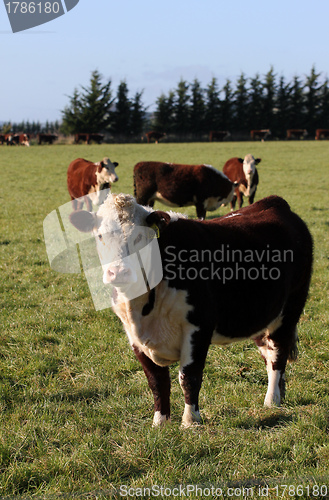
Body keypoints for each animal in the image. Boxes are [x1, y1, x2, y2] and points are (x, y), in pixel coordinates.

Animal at [70, 193, 312, 428]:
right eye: (99, 236)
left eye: (139, 237)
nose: (119, 272)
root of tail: (274, 202)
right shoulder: (133, 336)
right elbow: (157, 381)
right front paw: (160, 422)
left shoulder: (198, 326)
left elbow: (189, 376)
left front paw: (190, 421)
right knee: (268, 352)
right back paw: (280, 393)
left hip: (289, 310)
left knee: (278, 354)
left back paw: (272, 400)